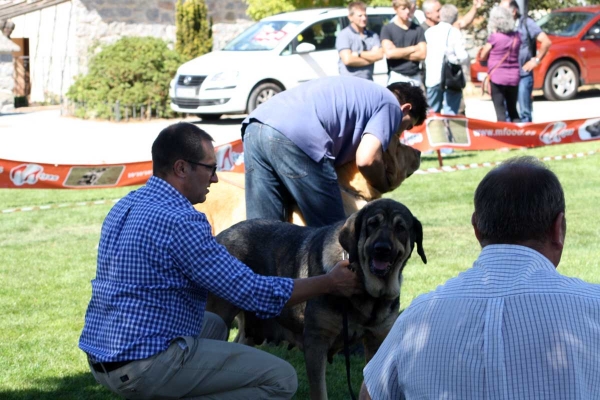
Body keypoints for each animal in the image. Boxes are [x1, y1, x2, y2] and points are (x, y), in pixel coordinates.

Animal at [206, 198, 426, 398]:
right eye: (372, 224)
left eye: (400, 228)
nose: (382, 249)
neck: (366, 293)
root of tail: (219, 236)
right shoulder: (316, 342)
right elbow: (319, 391)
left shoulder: (377, 342)